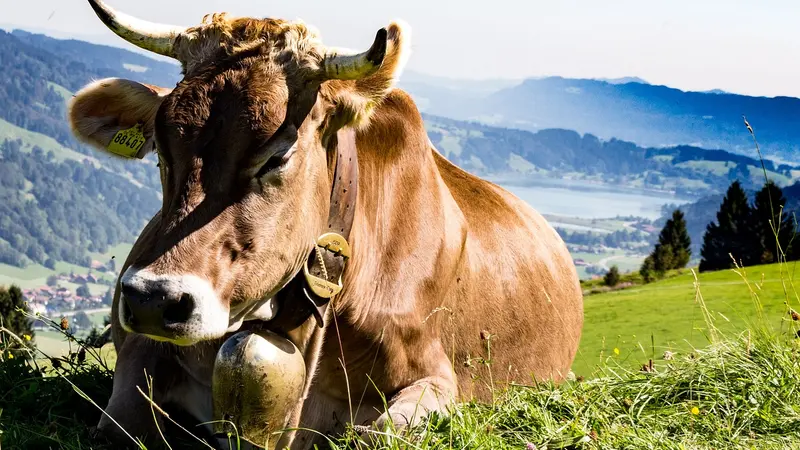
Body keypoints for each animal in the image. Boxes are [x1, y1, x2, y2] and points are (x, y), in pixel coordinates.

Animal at [67, 1, 584, 448]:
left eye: (277, 155)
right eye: (161, 148)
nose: (154, 300)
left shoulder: (436, 376)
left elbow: (379, 434)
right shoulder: (139, 353)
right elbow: (120, 422)